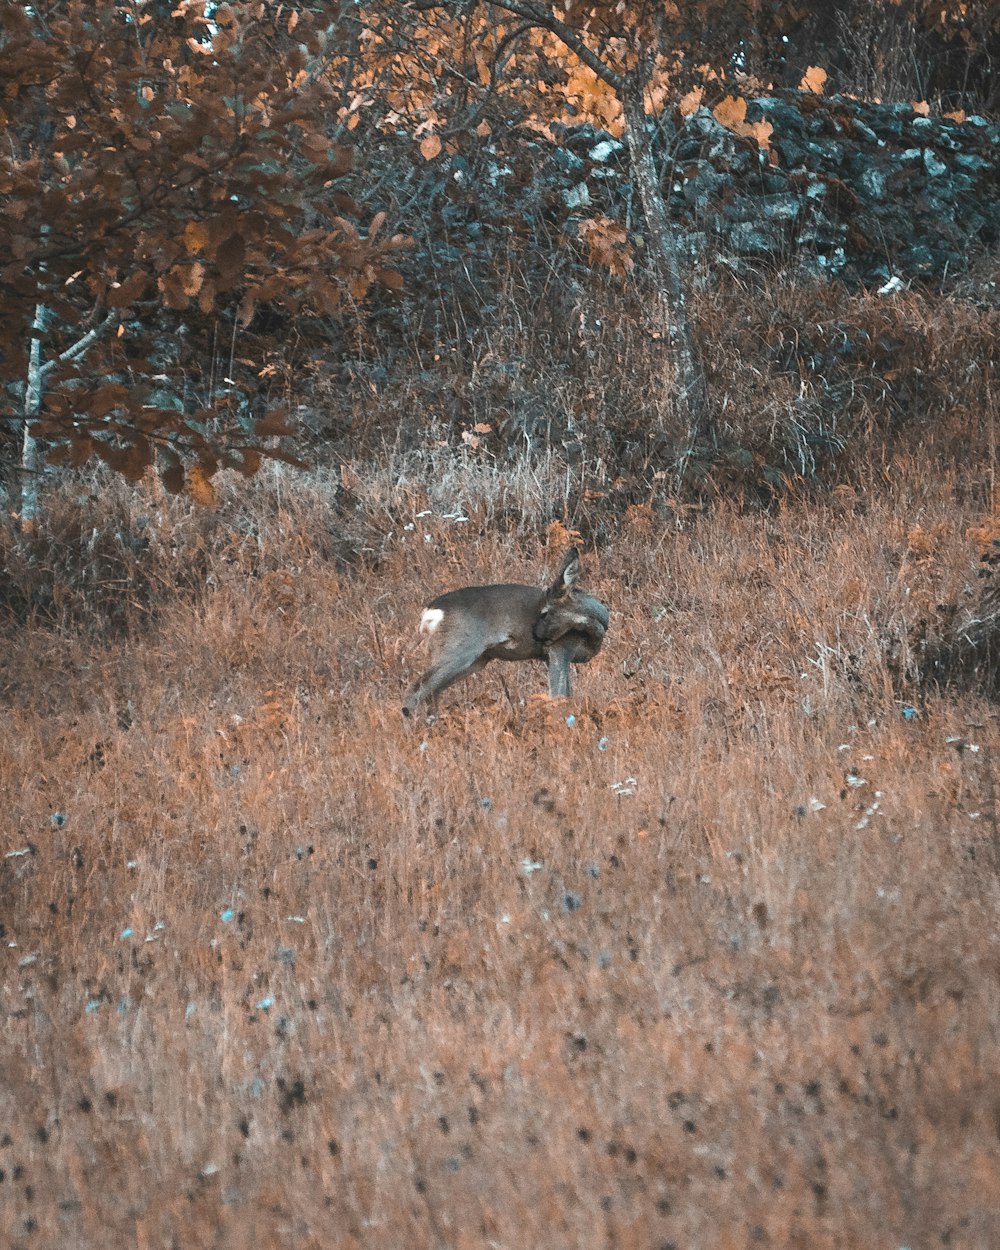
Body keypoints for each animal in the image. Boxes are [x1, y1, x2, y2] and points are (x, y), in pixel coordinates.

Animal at [400, 550, 610, 720]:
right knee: (415, 692)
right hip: (457, 650)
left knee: (432, 694)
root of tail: (430, 613)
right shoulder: (560, 648)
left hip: (473, 659)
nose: (536, 636)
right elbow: (559, 696)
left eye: (544, 612)